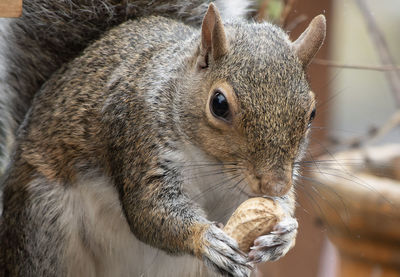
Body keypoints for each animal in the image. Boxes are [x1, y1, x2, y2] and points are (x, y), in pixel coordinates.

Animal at [0, 0, 324, 276]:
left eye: (311, 112)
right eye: (219, 104)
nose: (275, 184)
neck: (211, 164)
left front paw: (285, 233)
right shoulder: (140, 137)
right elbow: (150, 211)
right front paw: (206, 240)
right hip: (43, 229)